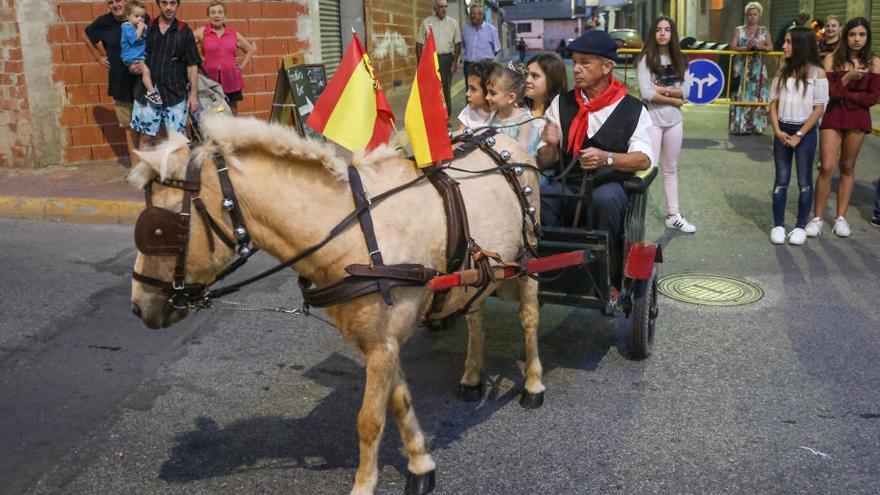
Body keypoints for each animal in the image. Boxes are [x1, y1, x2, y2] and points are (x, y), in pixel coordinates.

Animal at [128, 114, 548, 494]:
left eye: (160, 229)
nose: (139, 306)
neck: (355, 236)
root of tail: (501, 136)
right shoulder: (381, 342)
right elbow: (399, 402)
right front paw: (420, 463)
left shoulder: (381, 344)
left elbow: (369, 421)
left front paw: (365, 484)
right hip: (476, 274)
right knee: (475, 315)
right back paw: (473, 375)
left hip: (527, 257)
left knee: (529, 318)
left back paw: (533, 384)